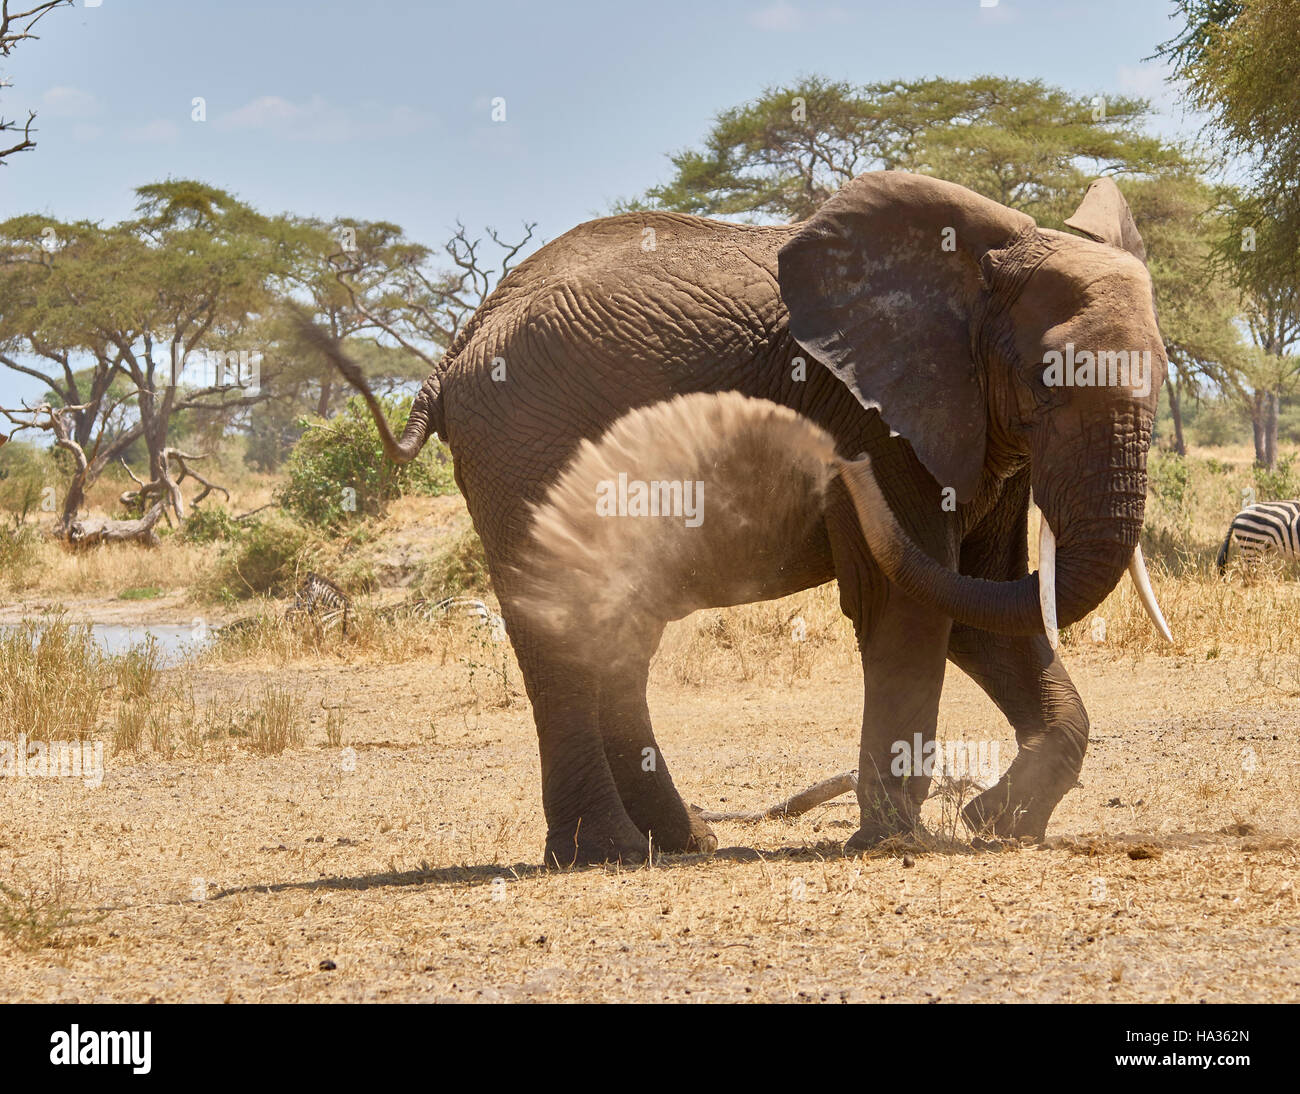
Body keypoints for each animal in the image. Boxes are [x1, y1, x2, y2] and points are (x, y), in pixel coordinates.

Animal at [299, 170, 1175, 867]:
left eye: (1166, 373)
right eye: (1046, 378)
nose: (830, 470)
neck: (979, 267)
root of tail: (460, 342)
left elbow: (984, 601)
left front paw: (996, 821)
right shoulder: (875, 419)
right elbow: (911, 600)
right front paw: (895, 840)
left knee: (617, 632)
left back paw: (682, 842)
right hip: (527, 445)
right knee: (566, 627)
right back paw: (607, 853)